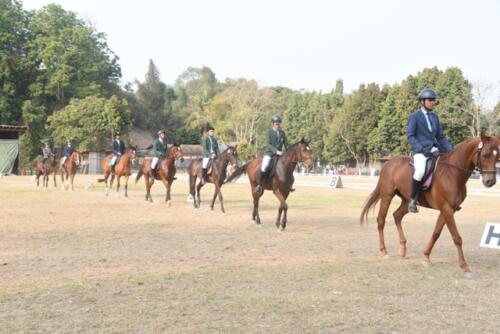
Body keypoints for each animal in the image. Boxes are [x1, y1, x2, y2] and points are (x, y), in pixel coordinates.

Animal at [360, 133, 500, 276]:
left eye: (497, 156)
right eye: (485, 155)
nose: (490, 182)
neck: (453, 173)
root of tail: (388, 163)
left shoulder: (448, 210)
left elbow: (436, 233)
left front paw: (426, 258)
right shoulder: (447, 209)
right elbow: (457, 238)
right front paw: (465, 267)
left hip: (407, 201)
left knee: (397, 216)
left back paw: (403, 248)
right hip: (387, 196)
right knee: (381, 220)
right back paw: (384, 251)